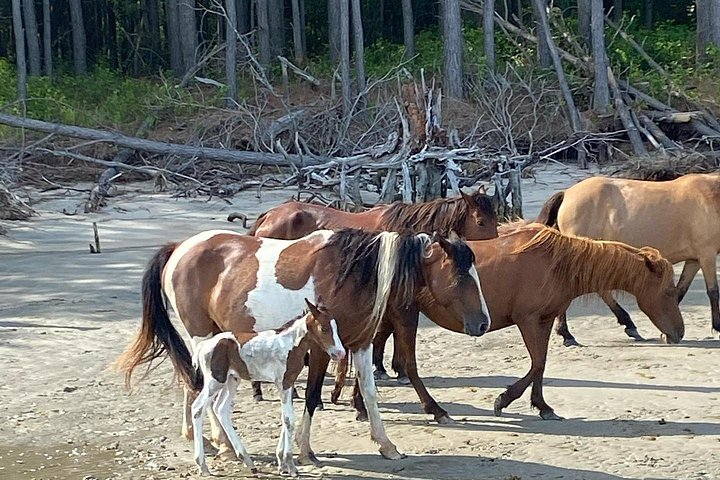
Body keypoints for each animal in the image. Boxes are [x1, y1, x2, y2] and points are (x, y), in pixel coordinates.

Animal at [189, 298, 345, 477]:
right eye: (324, 328)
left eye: (336, 327)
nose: (341, 353)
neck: (289, 345)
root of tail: (203, 345)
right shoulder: (284, 383)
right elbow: (289, 420)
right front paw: (291, 466)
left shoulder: (288, 384)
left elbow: (285, 419)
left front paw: (282, 464)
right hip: (215, 381)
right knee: (197, 408)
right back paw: (202, 465)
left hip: (232, 380)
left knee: (220, 408)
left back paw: (247, 461)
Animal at [247, 188, 499, 399]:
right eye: (480, 222)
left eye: (495, 220)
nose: (497, 245)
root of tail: (268, 215)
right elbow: (387, 331)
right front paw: (387, 368)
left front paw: (388, 368)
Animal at [353, 225, 684, 421]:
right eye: (669, 291)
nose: (679, 333)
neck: (556, 263)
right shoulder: (527, 320)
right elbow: (536, 363)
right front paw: (504, 399)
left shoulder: (545, 320)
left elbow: (542, 363)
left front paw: (542, 406)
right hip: (405, 316)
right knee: (407, 363)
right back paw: (434, 409)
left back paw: (360, 405)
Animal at [537, 174, 720, 345]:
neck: (712, 197)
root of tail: (566, 193)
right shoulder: (707, 254)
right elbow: (713, 292)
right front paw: (717, 329)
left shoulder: (694, 260)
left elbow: (680, 290)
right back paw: (568, 334)